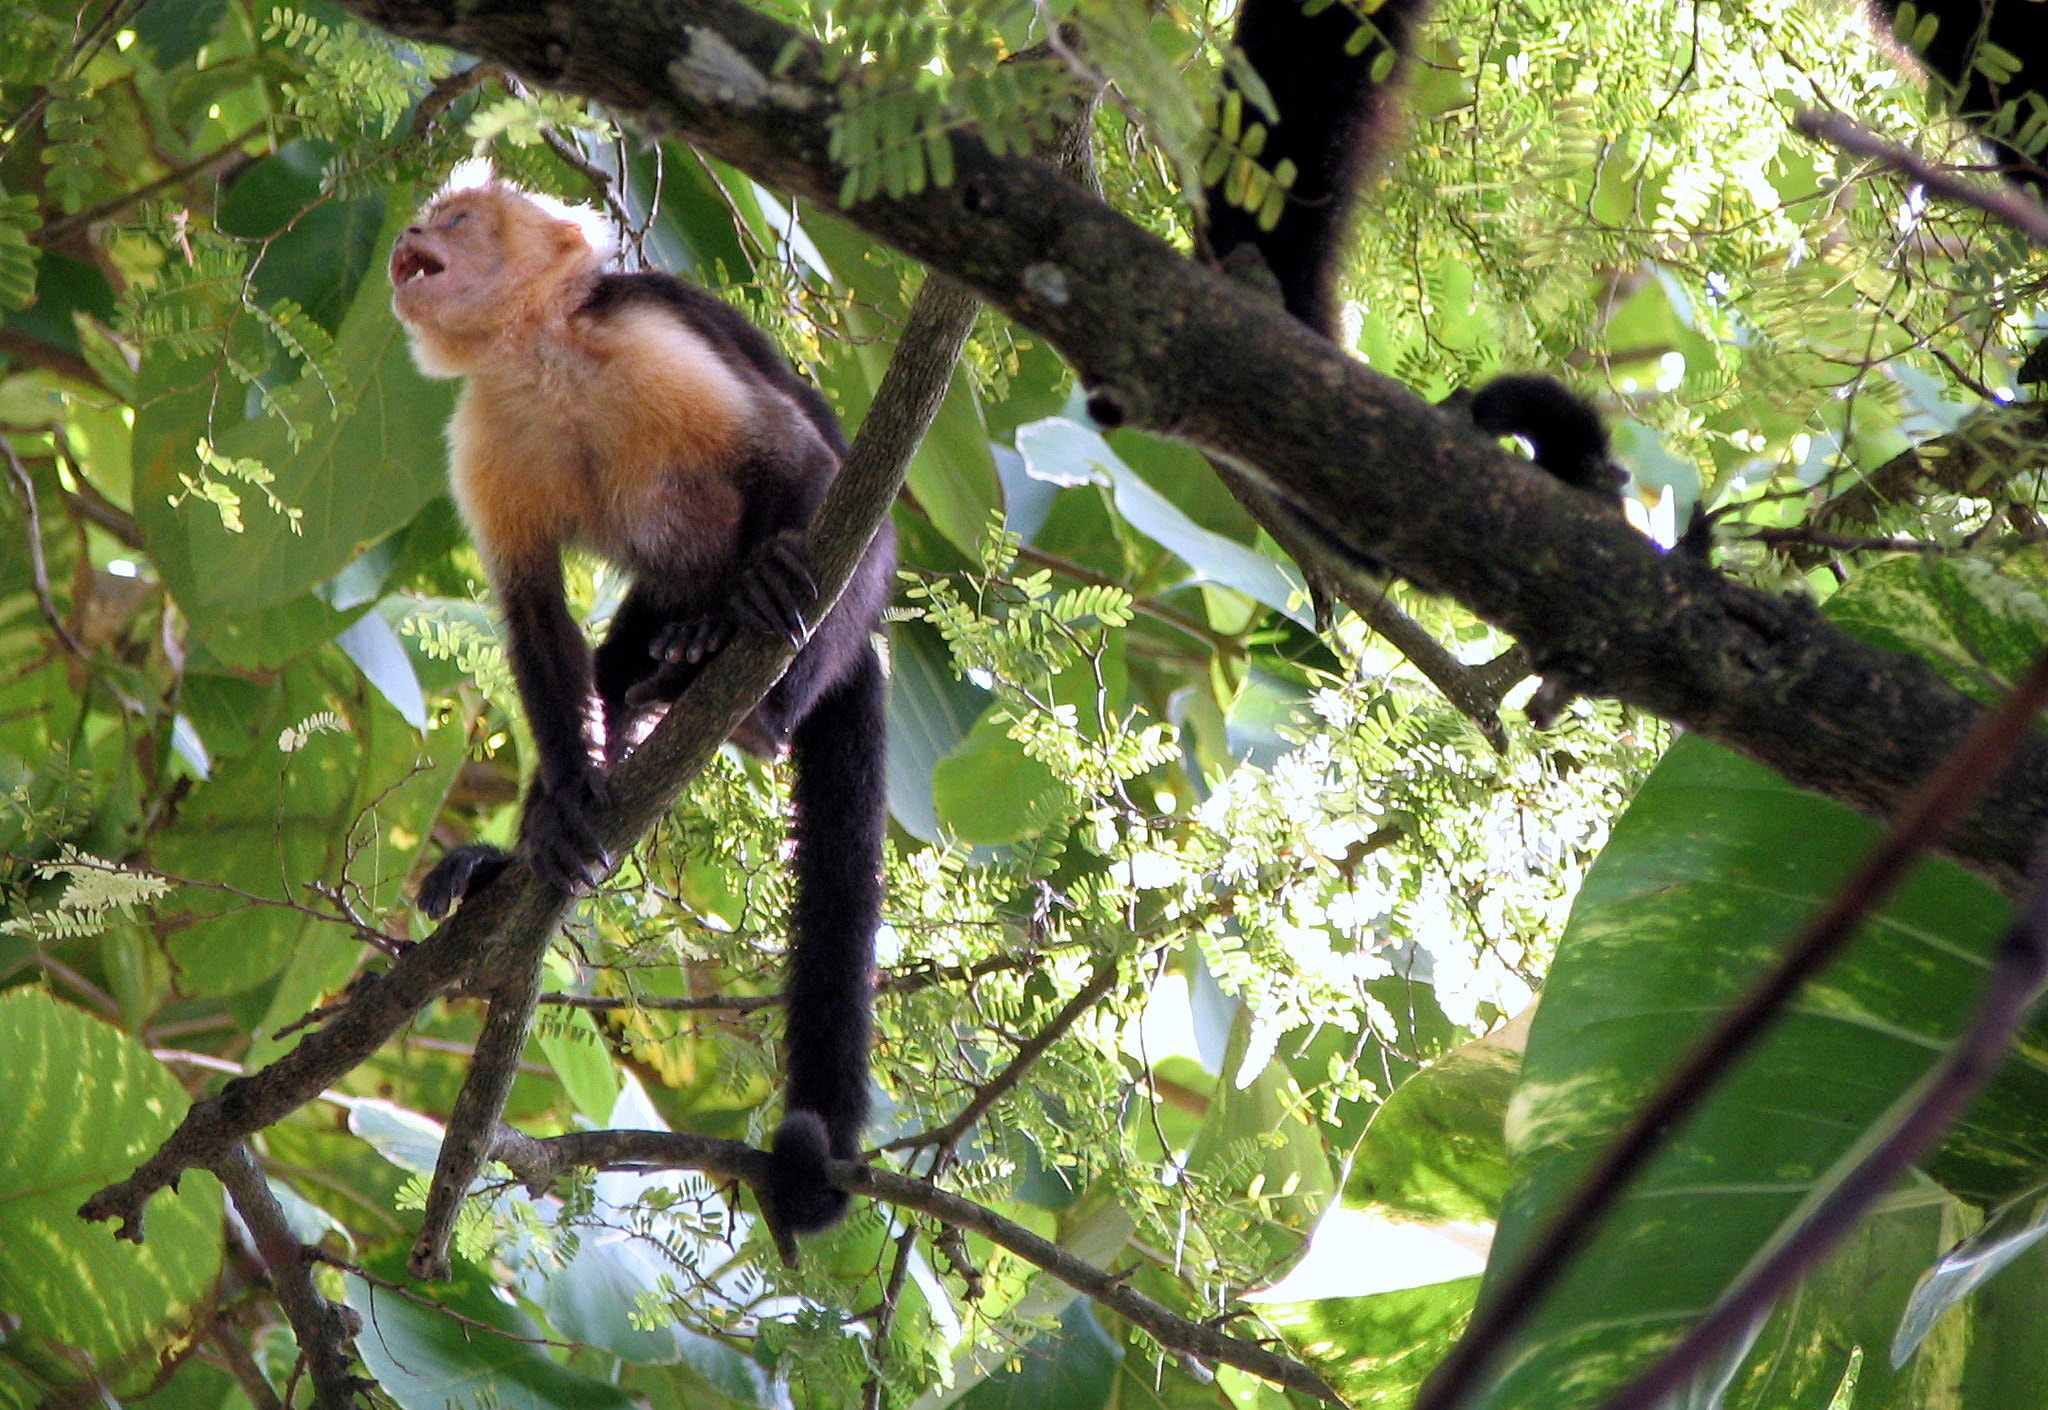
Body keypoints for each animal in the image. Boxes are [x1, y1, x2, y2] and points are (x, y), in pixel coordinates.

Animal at [391, 159, 888, 1229]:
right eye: (432, 218)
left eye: (460, 220)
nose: (412, 235)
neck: (535, 352)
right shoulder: (485, 431)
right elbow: (536, 618)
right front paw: (565, 805)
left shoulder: (640, 334)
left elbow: (800, 458)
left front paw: (771, 572)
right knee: (616, 672)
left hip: (854, 608)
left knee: (844, 535)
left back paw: (752, 691)